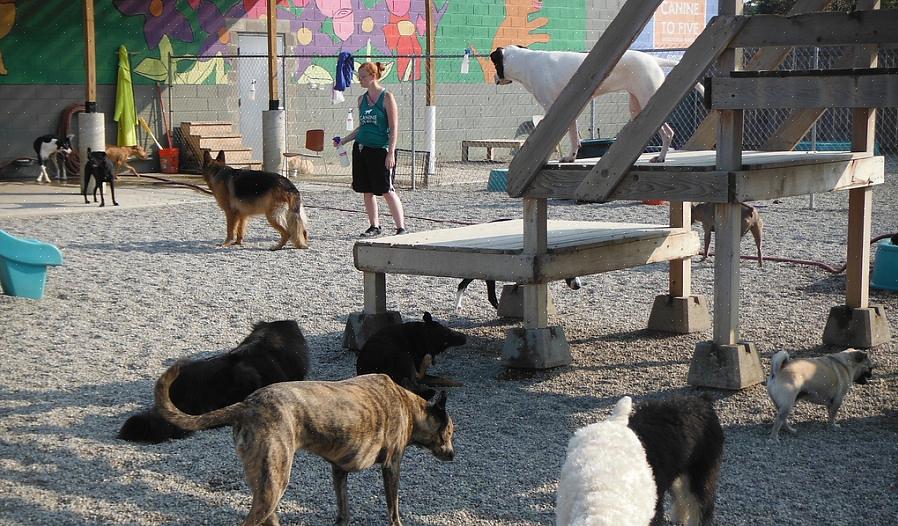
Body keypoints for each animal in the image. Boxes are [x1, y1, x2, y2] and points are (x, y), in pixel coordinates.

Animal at [486, 47, 704, 163]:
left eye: (494, 64)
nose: (494, 78)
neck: (526, 62)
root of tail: (652, 59)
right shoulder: (568, 111)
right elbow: (574, 137)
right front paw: (571, 157)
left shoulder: (551, 110)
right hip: (637, 107)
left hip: (648, 100)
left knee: (668, 132)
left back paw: (661, 157)